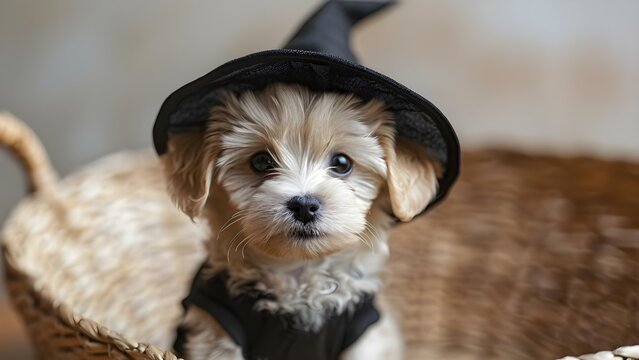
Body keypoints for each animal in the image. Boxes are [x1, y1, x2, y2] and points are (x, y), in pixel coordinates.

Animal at [161, 83, 440, 360]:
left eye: (342, 163)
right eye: (261, 161)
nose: (304, 206)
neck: (298, 272)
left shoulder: (364, 336)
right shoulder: (216, 330)